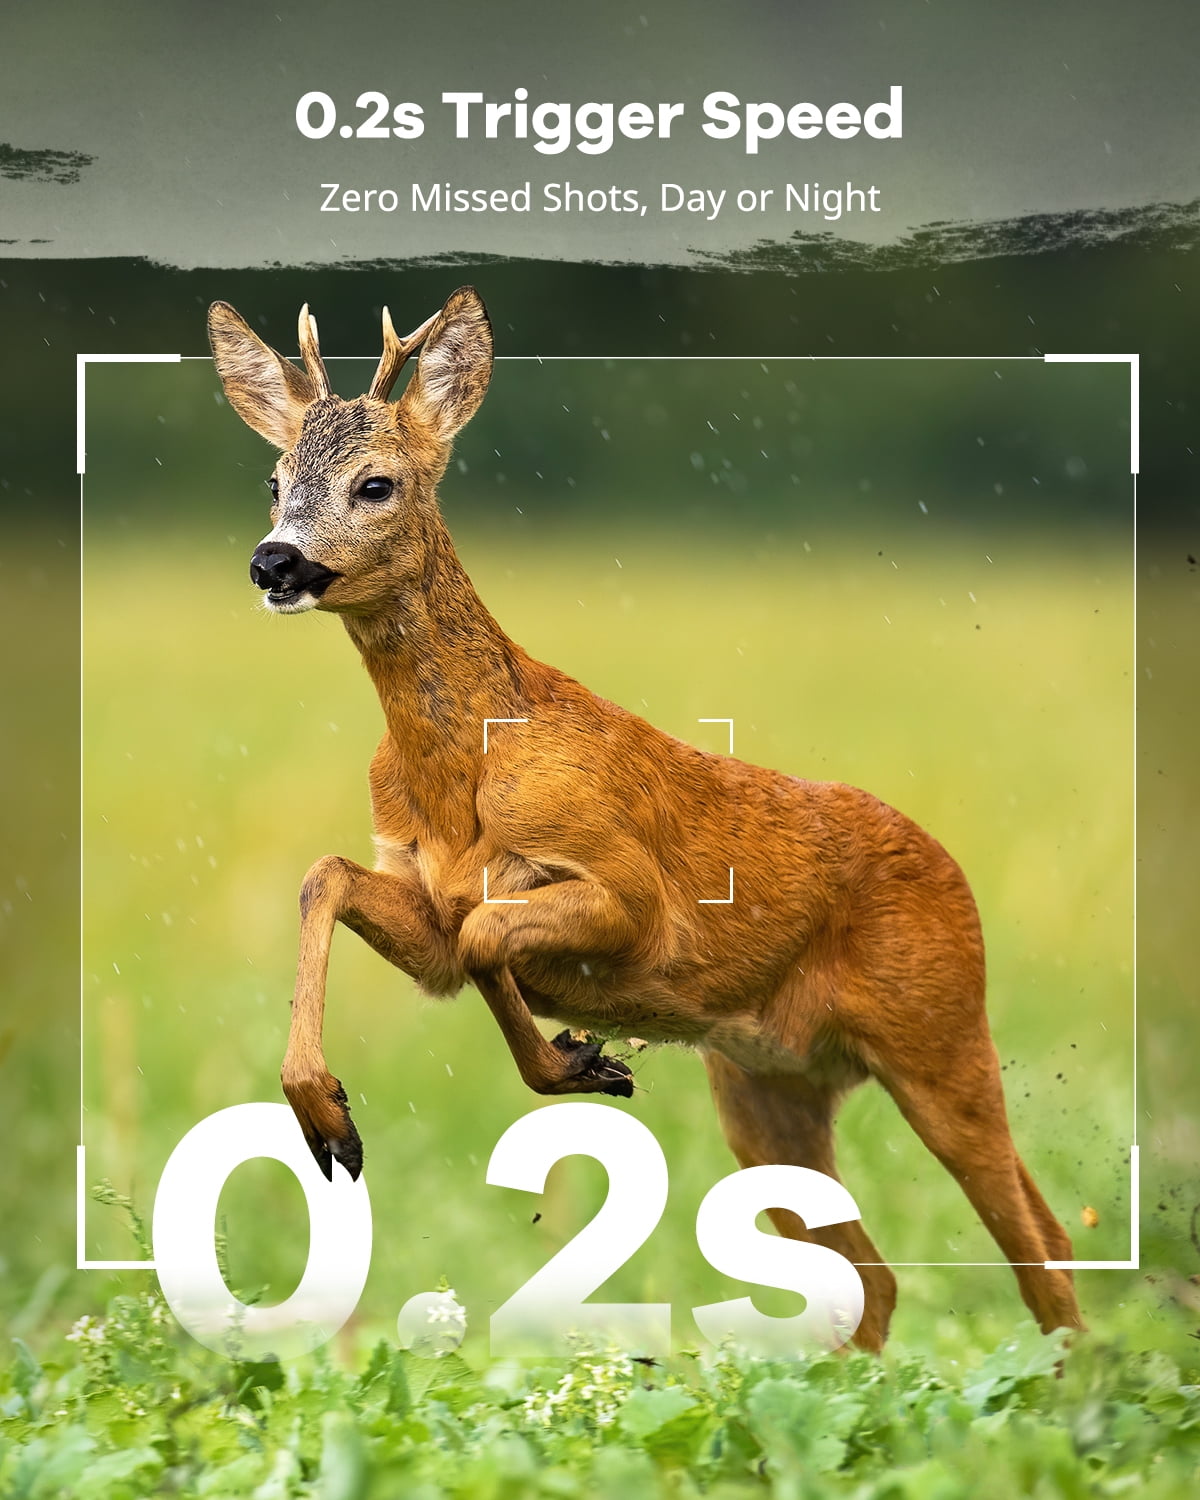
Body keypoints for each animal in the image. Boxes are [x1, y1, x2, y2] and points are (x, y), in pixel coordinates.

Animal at [206, 287, 1083, 1350]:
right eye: (274, 479)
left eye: (376, 484)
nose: (275, 561)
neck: (462, 775)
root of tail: (954, 872)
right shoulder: (425, 909)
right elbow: (337, 881)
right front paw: (330, 1121)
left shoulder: (634, 896)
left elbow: (487, 929)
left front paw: (578, 1064)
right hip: (766, 1085)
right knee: (869, 1275)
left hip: (941, 1033)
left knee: (1041, 1245)